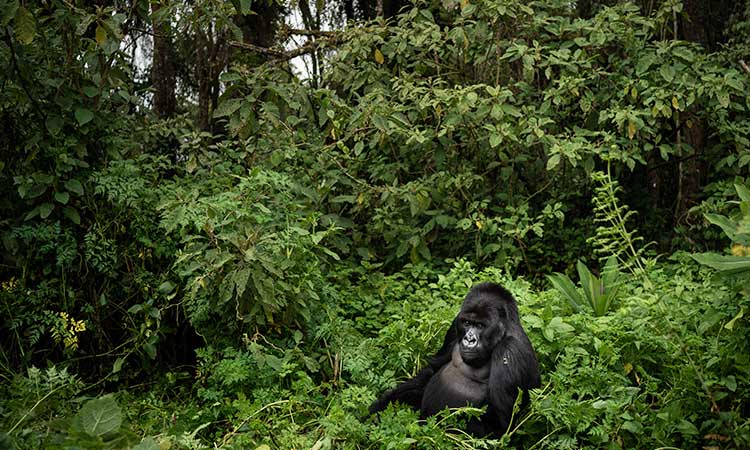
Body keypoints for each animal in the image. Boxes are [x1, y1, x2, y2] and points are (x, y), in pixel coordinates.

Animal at [372, 282, 540, 436]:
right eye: (467, 323)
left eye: (480, 325)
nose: (469, 339)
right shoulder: (456, 323)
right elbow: (432, 369)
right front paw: (380, 406)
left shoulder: (509, 351)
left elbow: (499, 423)